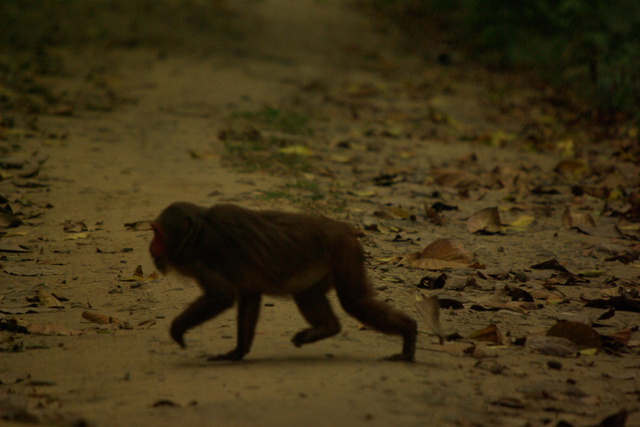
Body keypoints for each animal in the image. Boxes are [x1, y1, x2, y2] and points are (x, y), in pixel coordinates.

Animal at [149, 202, 417, 362]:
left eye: (157, 233)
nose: (151, 247)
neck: (197, 232)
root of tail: (344, 228)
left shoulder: (204, 256)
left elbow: (222, 296)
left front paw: (178, 329)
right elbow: (249, 295)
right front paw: (238, 353)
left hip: (343, 250)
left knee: (354, 301)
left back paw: (409, 332)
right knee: (308, 295)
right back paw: (328, 328)